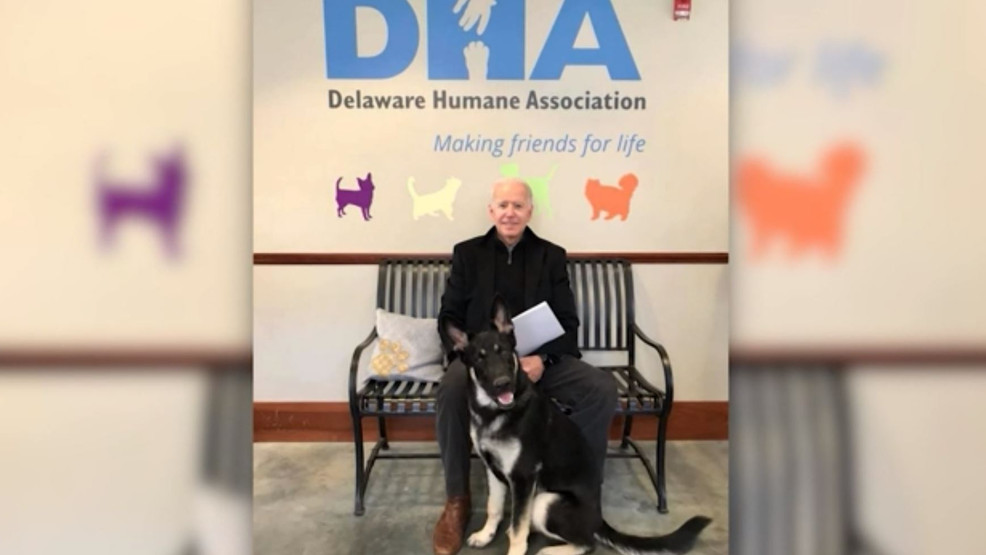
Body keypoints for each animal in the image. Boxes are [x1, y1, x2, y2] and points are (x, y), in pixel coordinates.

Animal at [442, 296, 711, 555]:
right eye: (480, 359)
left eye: (505, 352)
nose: (503, 384)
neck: (493, 411)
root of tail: (598, 519)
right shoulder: (493, 470)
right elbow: (494, 508)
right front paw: (486, 535)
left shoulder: (523, 477)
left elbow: (519, 529)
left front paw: (515, 548)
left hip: (545, 502)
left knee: (586, 543)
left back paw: (551, 551)